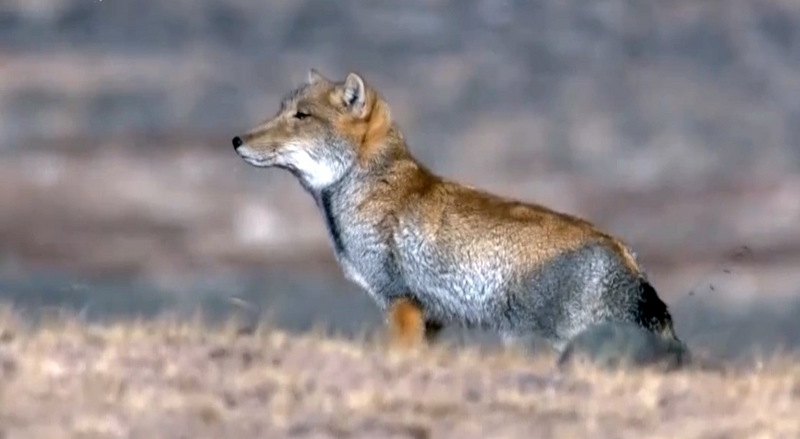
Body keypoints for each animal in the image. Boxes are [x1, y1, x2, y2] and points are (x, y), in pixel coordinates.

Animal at [231, 68, 688, 364]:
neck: (371, 187)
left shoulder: (400, 303)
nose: (236, 139)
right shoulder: (431, 319)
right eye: (282, 110)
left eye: (301, 116)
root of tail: (628, 260)